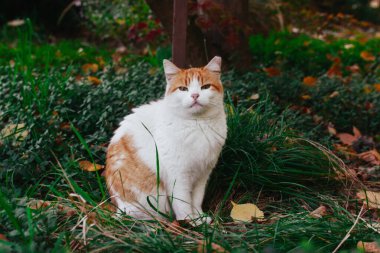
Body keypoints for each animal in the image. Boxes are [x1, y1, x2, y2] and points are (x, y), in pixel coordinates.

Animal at [104, 55, 226, 223]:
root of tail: (118, 208)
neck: (197, 124)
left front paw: (199, 218)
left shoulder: (202, 175)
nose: (195, 95)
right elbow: (183, 203)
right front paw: (190, 221)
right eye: (183, 89)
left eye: (205, 87)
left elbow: (196, 200)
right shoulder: (178, 177)